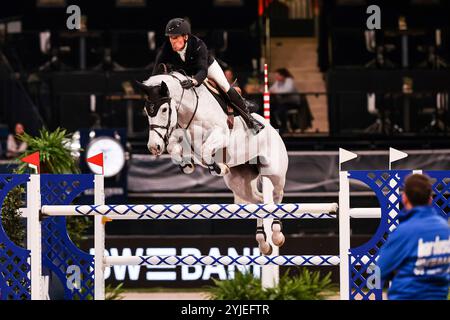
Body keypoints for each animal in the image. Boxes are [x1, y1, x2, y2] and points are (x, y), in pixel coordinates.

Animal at [135, 72, 288, 255]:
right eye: (146, 111)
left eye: (164, 109)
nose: (154, 147)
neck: (189, 112)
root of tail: (273, 129)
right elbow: (175, 148)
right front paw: (188, 166)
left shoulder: (220, 135)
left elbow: (206, 150)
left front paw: (219, 168)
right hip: (240, 183)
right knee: (258, 202)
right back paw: (263, 242)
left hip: (274, 173)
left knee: (276, 196)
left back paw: (277, 235)